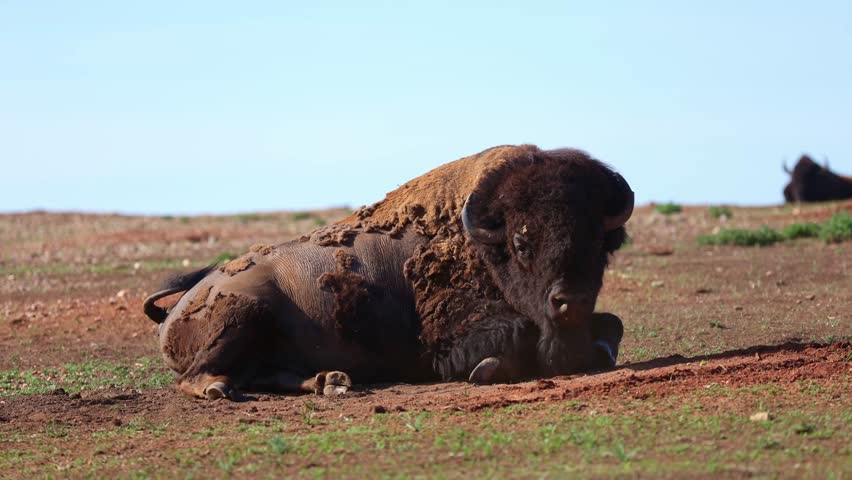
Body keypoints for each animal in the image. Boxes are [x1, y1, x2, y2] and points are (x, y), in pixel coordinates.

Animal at [142, 145, 634, 401]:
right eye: (521, 242)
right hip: (244, 316)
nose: (569, 300)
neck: (482, 241)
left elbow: (613, 321)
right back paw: (220, 389)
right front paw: (488, 368)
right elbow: (513, 337)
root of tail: (181, 304)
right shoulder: (445, 340)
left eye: (599, 242)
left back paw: (330, 381)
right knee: (196, 378)